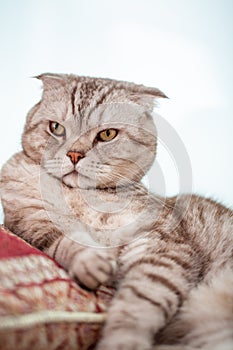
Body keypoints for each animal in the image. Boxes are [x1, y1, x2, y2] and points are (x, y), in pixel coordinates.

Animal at [0, 72, 233, 348]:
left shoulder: (161, 245)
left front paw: (123, 340)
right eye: (56, 128)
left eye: (107, 134)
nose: (74, 154)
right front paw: (91, 261)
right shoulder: (34, 223)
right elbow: (69, 243)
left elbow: (139, 301)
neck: (82, 196)